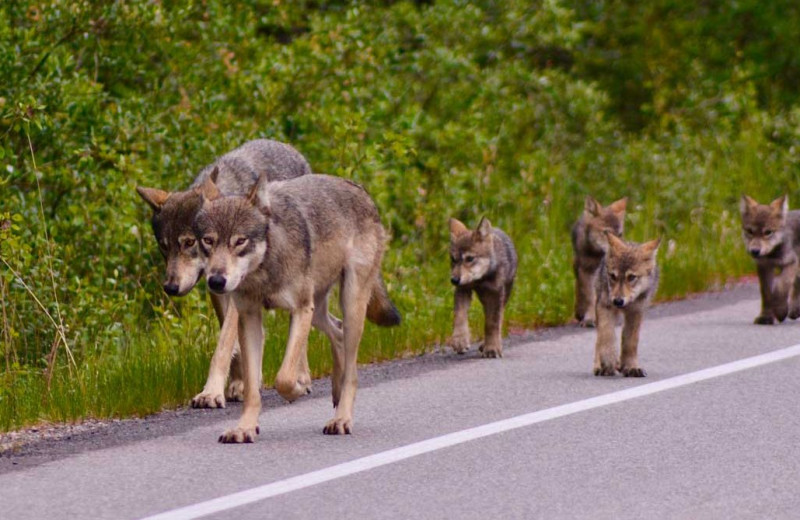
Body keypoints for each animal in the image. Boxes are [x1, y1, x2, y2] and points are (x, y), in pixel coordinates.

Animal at [191, 173, 404, 440]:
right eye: (208, 241)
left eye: (240, 241)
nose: (216, 281)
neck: (265, 269)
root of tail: (360, 189)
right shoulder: (249, 316)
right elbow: (251, 389)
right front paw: (244, 428)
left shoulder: (301, 309)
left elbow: (283, 377)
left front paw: (299, 388)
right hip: (319, 311)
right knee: (338, 331)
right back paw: (336, 390)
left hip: (348, 303)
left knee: (352, 371)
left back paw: (341, 419)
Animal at [596, 234, 660, 376]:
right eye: (613, 276)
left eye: (631, 277)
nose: (618, 301)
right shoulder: (605, 306)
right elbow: (607, 335)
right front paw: (609, 359)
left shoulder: (636, 312)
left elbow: (630, 341)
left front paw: (631, 367)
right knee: (598, 339)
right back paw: (599, 367)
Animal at [736, 195, 800, 324]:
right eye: (750, 231)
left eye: (768, 232)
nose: (755, 251)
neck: (771, 255)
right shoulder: (764, 267)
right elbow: (766, 294)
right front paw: (765, 317)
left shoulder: (791, 263)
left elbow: (781, 286)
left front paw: (780, 310)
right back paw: (795, 311)